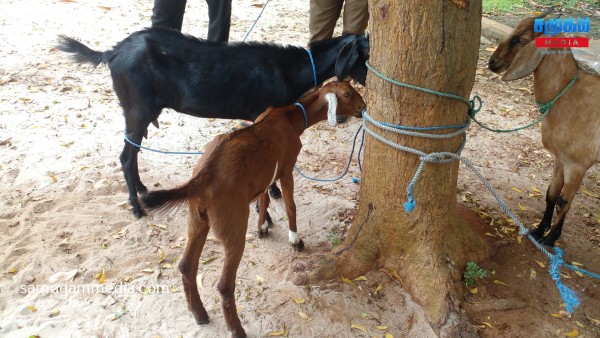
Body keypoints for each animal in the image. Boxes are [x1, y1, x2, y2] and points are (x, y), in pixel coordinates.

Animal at [58, 29, 372, 219]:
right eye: (366, 57)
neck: (288, 70)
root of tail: (113, 52)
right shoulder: (260, 112)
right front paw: (272, 195)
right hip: (138, 108)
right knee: (125, 155)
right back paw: (136, 207)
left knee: (132, 152)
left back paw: (143, 190)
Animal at [141, 81, 366, 336]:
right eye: (347, 93)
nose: (363, 107)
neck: (291, 116)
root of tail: (204, 176)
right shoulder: (287, 167)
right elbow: (290, 204)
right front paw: (295, 240)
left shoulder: (265, 176)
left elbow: (264, 199)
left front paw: (263, 228)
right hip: (233, 224)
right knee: (224, 284)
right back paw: (236, 329)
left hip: (196, 218)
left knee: (186, 266)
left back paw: (200, 314)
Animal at [488, 14, 600, 247]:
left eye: (522, 40)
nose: (491, 62)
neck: (566, 94)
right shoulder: (560, 158)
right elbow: (551, 194)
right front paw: (540, 231)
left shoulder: (578, 164)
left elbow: (564, 201)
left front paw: (550, 239)